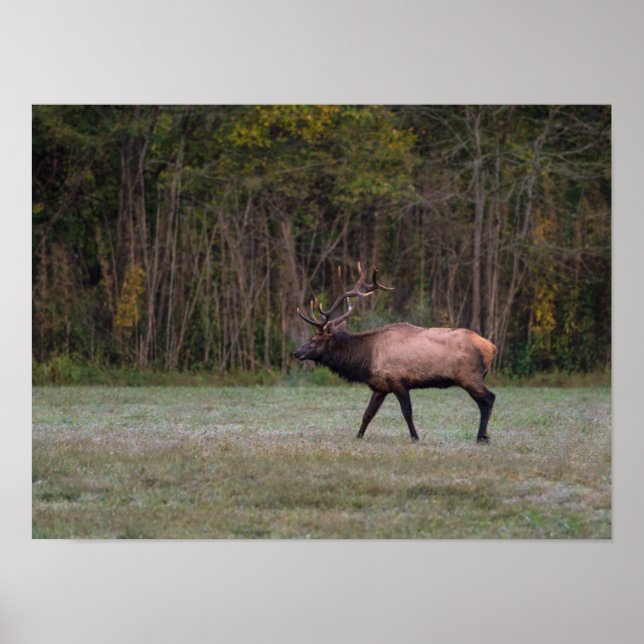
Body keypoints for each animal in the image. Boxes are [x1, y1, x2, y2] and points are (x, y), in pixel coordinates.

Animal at [293, 264, 497, 443]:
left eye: (313, 340)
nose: (296, 352)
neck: (366, 359)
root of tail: (491, 348)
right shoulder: (380, 386)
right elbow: (367, 414)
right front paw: (358, 436)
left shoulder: (398, 380)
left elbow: (407, 412)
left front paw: (415, 437)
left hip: (468, 376)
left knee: (488, 399)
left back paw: (482, 437)